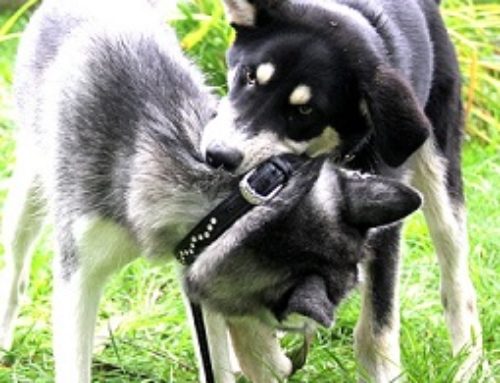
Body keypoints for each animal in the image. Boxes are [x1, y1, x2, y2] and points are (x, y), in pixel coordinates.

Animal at [0, 0, 422, 383]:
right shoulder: (79, 274)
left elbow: (215, 358)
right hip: (30, 189)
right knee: (16, 267)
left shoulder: (191, 264)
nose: (296, 358)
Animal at [202, 0, 484, 382]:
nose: (217, 156)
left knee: (456, 278)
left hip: (440, 171)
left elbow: (377, 325)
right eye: (249, 77)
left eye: (304, 110)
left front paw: (381, 373)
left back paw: (467, 360)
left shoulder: (382, 222)